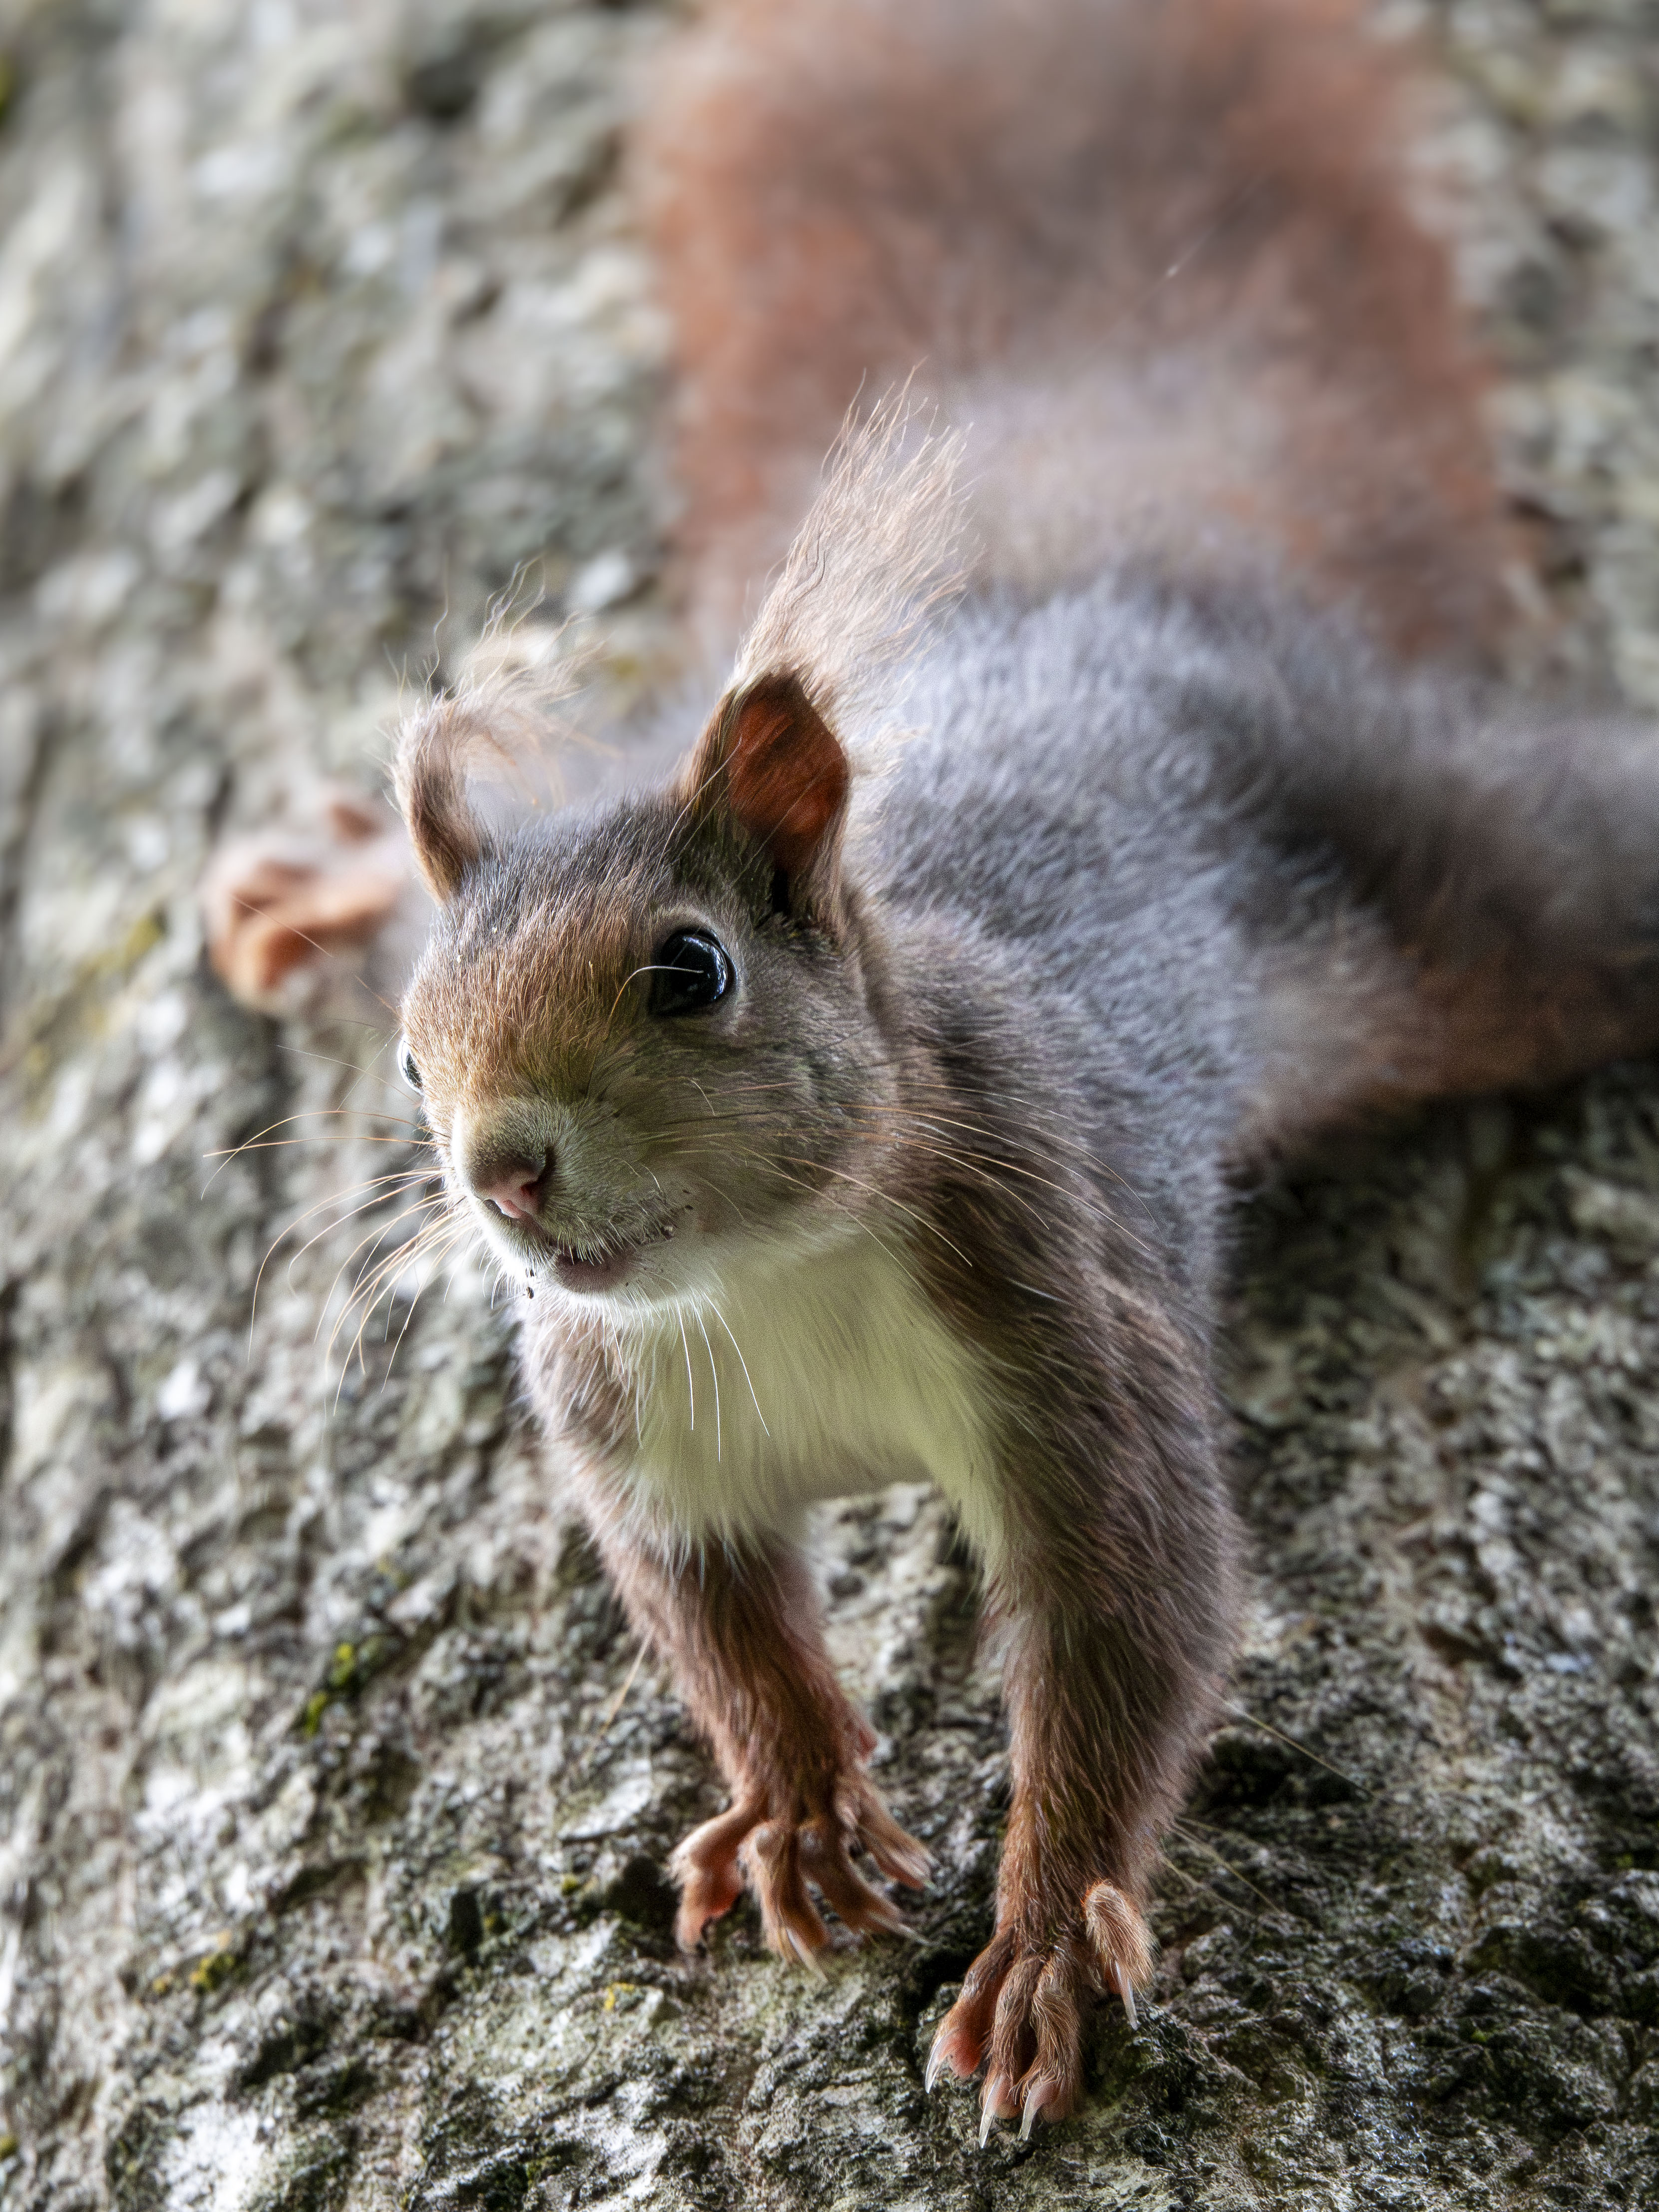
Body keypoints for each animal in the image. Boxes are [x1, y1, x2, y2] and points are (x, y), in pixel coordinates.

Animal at [208, 0, 1659, 2145]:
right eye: (407, 1060)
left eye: (693, 970)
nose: (501, 1172)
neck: (768, 1273)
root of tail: (1116, 585)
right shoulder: (627, 1416)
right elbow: (718, 1622)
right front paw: (800, 1804)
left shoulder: (1056, 1307)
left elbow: (1137, 1608)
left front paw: (1045, 1931)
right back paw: (318, 876)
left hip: (1471, 891)